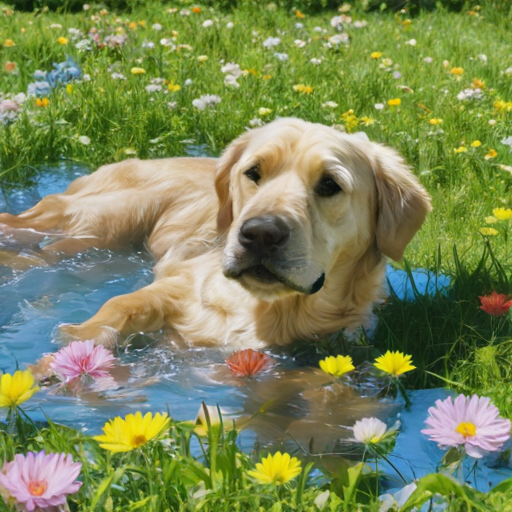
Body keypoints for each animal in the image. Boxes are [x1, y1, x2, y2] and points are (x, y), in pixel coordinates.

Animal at [0, 117, 432, 348]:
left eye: (329, 185)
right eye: (253, 172)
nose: (259, 234)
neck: (269, 309)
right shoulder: (174, 286)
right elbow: (119, 306)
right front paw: (73, 343)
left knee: (45, 251)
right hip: (108, 216)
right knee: (26, 223)